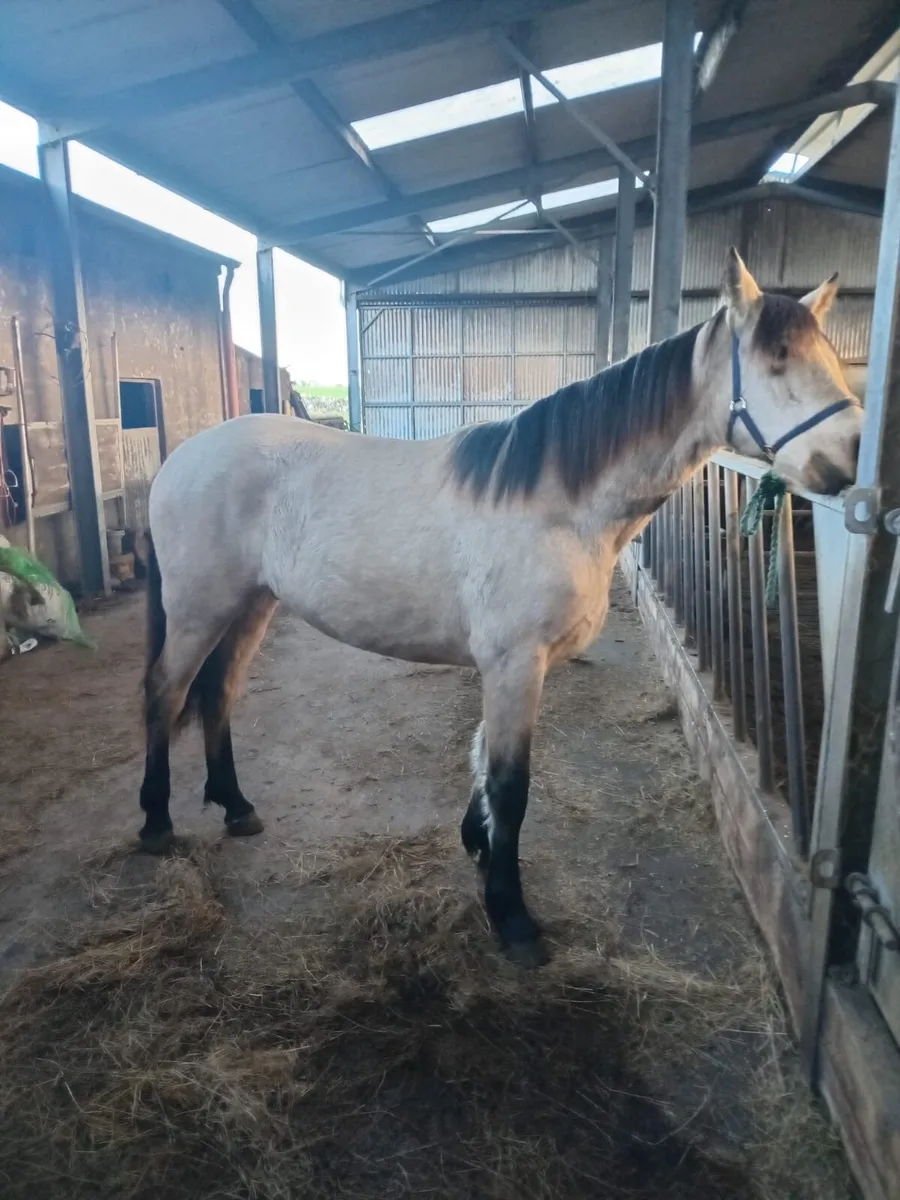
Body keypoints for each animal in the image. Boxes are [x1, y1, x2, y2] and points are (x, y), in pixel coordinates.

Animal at [138, 247, 862, 964]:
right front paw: (512, 917)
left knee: (218, 693)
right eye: (777, 357)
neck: (559, 505)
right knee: (166, 692)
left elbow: (484, 761)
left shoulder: (511, 666)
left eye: (828, 355)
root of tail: (182, 458)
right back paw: (156, 821)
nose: (852, 460)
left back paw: (235, 806)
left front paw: (479, 849)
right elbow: (511, 785)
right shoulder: (515, 663)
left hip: (251, 605)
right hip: (200, 608)